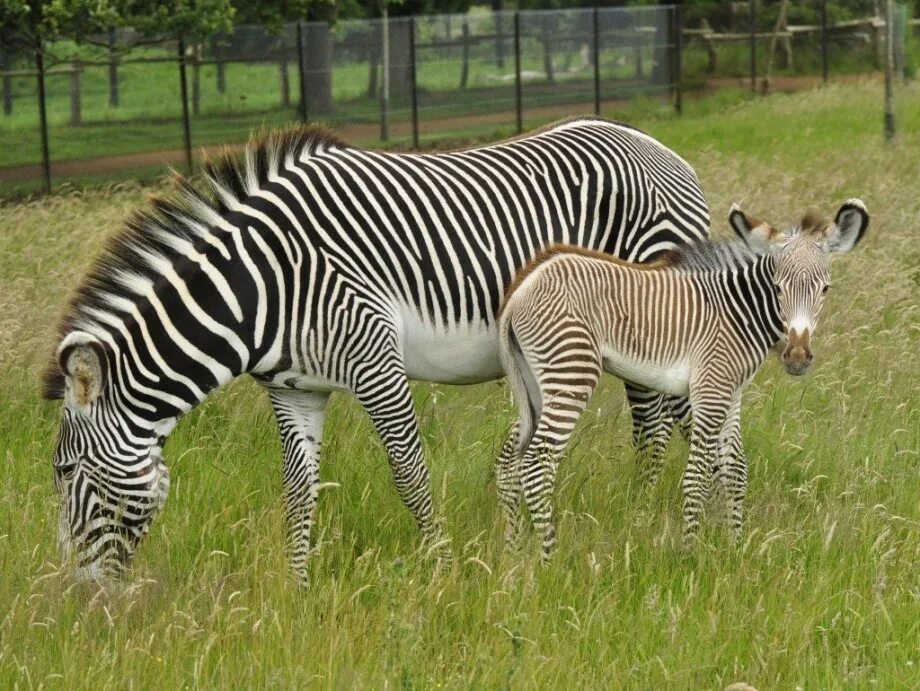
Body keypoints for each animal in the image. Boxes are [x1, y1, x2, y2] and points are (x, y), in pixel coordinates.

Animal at [43, 119, 712, 584]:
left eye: (66, 472)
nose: (84, 596)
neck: (262, 290)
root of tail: (662, 148)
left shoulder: (374, 361)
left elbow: (409, 473)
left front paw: (444, 572)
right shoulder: (294, 389)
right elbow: (298, 490)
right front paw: (295, 591)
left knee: (652, 429)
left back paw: (644, 519)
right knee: (669, 419)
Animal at [500, 197, 868, 560]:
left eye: (825, 289)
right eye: (777, 287)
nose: (797, 357)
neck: (738, 311)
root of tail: (520, 290)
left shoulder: (732, 393)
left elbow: (736, 470)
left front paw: (735, 549)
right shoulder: (711, 391)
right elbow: (698, 477)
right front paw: (689, 555)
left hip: (536, 382)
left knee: (511, 457)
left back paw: (513, 550)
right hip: (572, 372)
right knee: (537, 463)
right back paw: (549, 557)